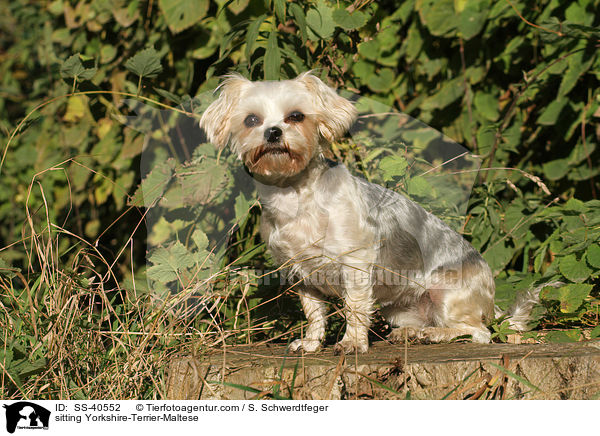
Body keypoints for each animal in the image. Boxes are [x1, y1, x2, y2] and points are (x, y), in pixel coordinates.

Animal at [199, 71, 508, 354]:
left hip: (447, 295)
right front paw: (311, 344)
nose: (273, 132)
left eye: (296, 116)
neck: (293, 194)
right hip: (399, 309)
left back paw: (435, 335)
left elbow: (354, 307)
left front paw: (352, 343)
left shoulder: (356, 262)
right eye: (251, 120)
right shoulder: (302, 274)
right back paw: (410, 333)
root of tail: (492, 298)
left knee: (478, 332)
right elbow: (314, 312)